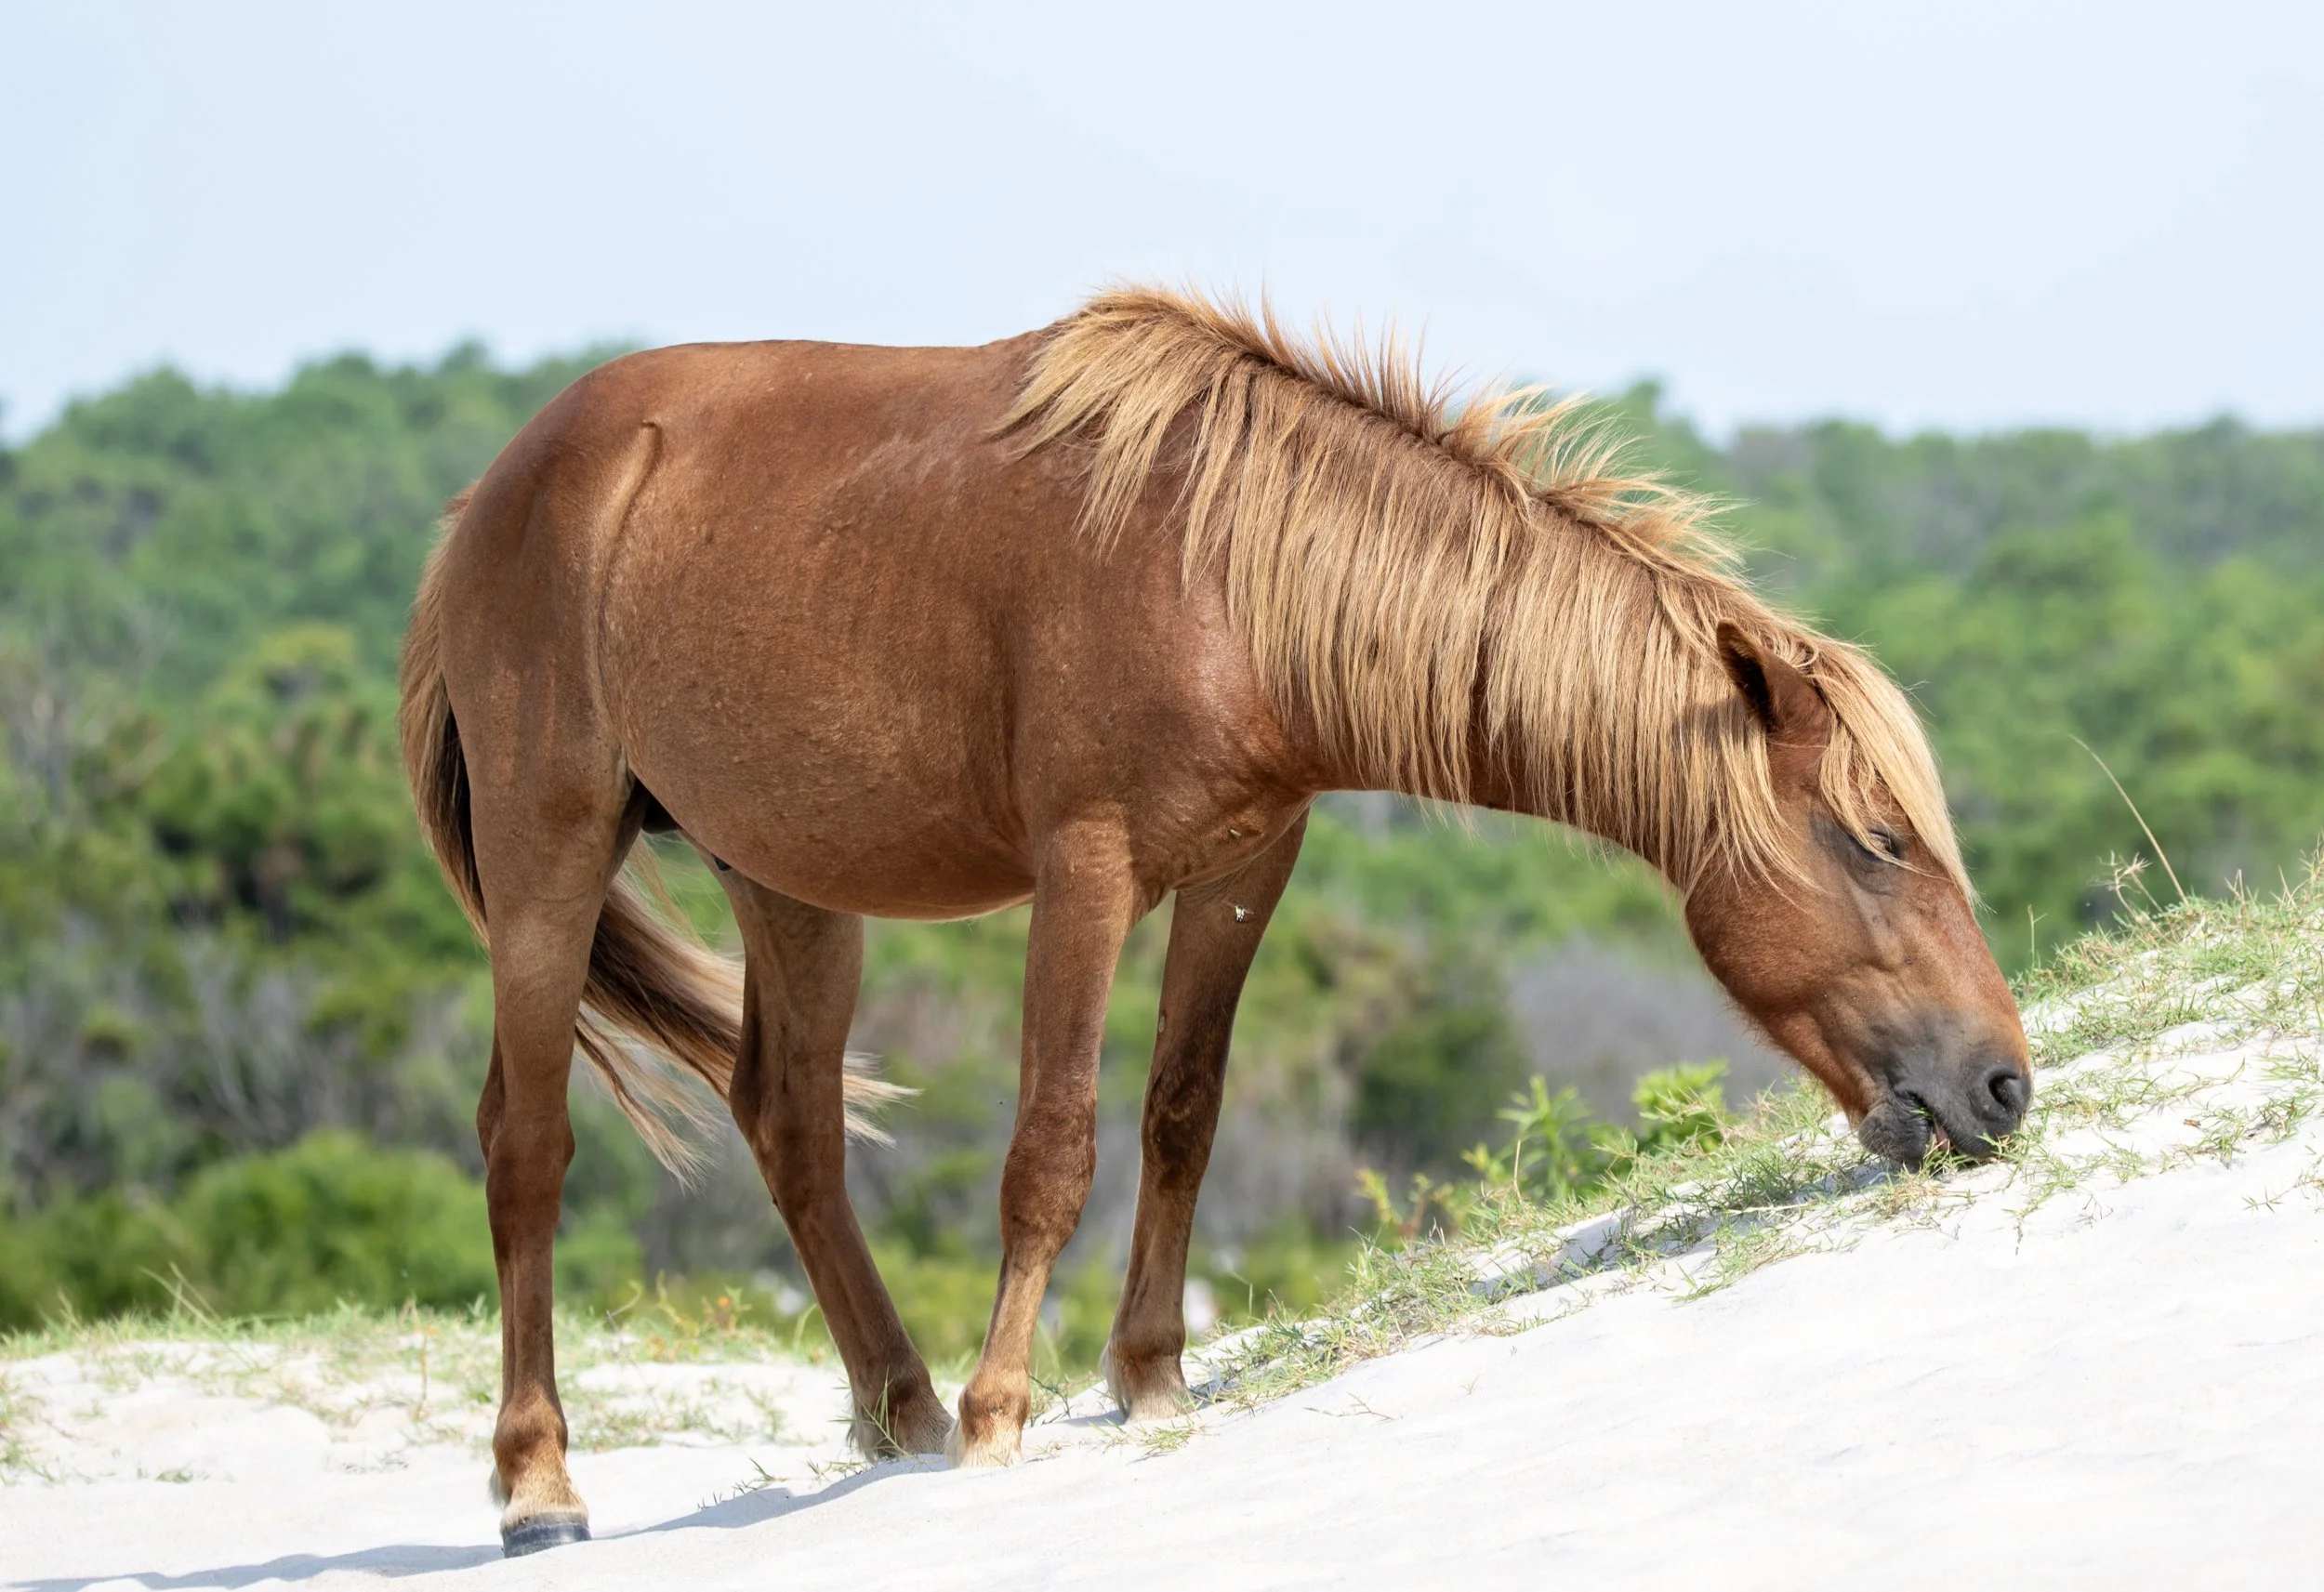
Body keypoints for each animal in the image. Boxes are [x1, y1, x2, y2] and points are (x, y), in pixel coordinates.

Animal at [398, 286, 2030, 1554]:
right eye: (1878, 842)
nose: (2004, 1085)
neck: (1222, 571)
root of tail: (493, 494)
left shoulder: (1247, 867)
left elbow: (1182, 1113)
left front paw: (1149, 1377)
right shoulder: (1090, 871)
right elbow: (1052, 1145)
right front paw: (1003, 1416)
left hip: (788, 877)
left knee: (790, 1120)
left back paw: (898, 1410)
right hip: (551, 861)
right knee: (524, 1146)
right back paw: (543, 1485)